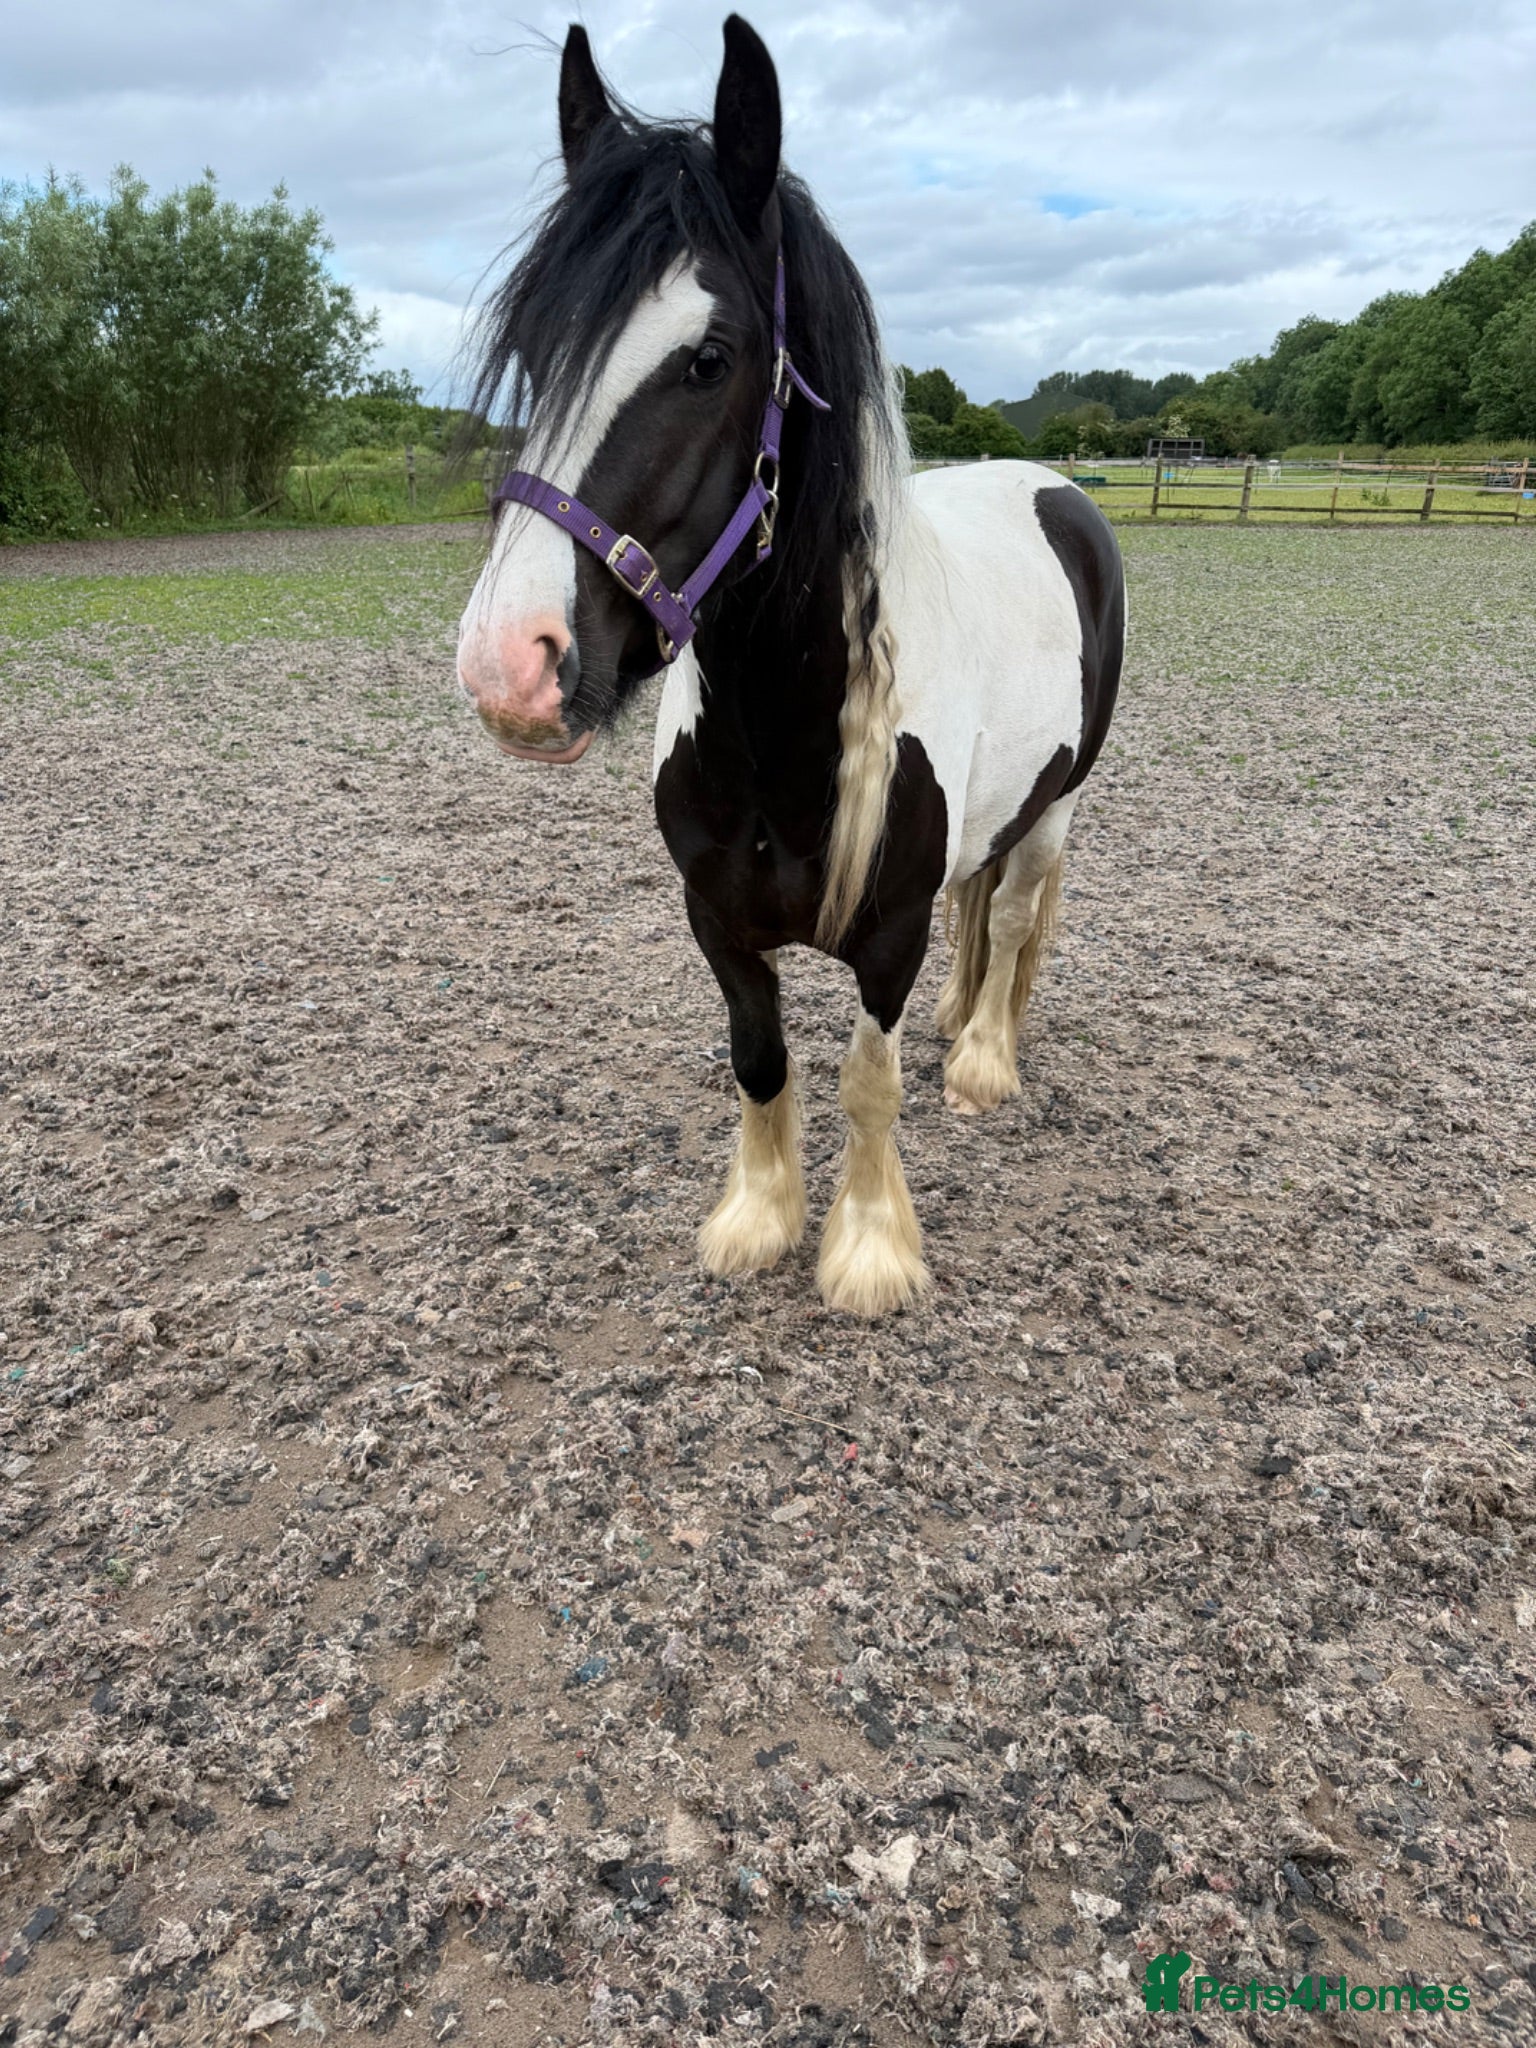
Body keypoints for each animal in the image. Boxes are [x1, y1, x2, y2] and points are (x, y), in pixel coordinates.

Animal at [456, 15, 1124, 1317]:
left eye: (710, 357)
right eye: (538, 351)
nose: (510, 665)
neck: (787, 738)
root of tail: (1055, 487)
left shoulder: (890, 935)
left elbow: (868, 1079)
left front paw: (867, 1250)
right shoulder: (714, 917)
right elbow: (759, 1059)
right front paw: (757, 1220)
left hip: (1060, 803)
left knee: (1017, 909)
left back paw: (982, 1057)